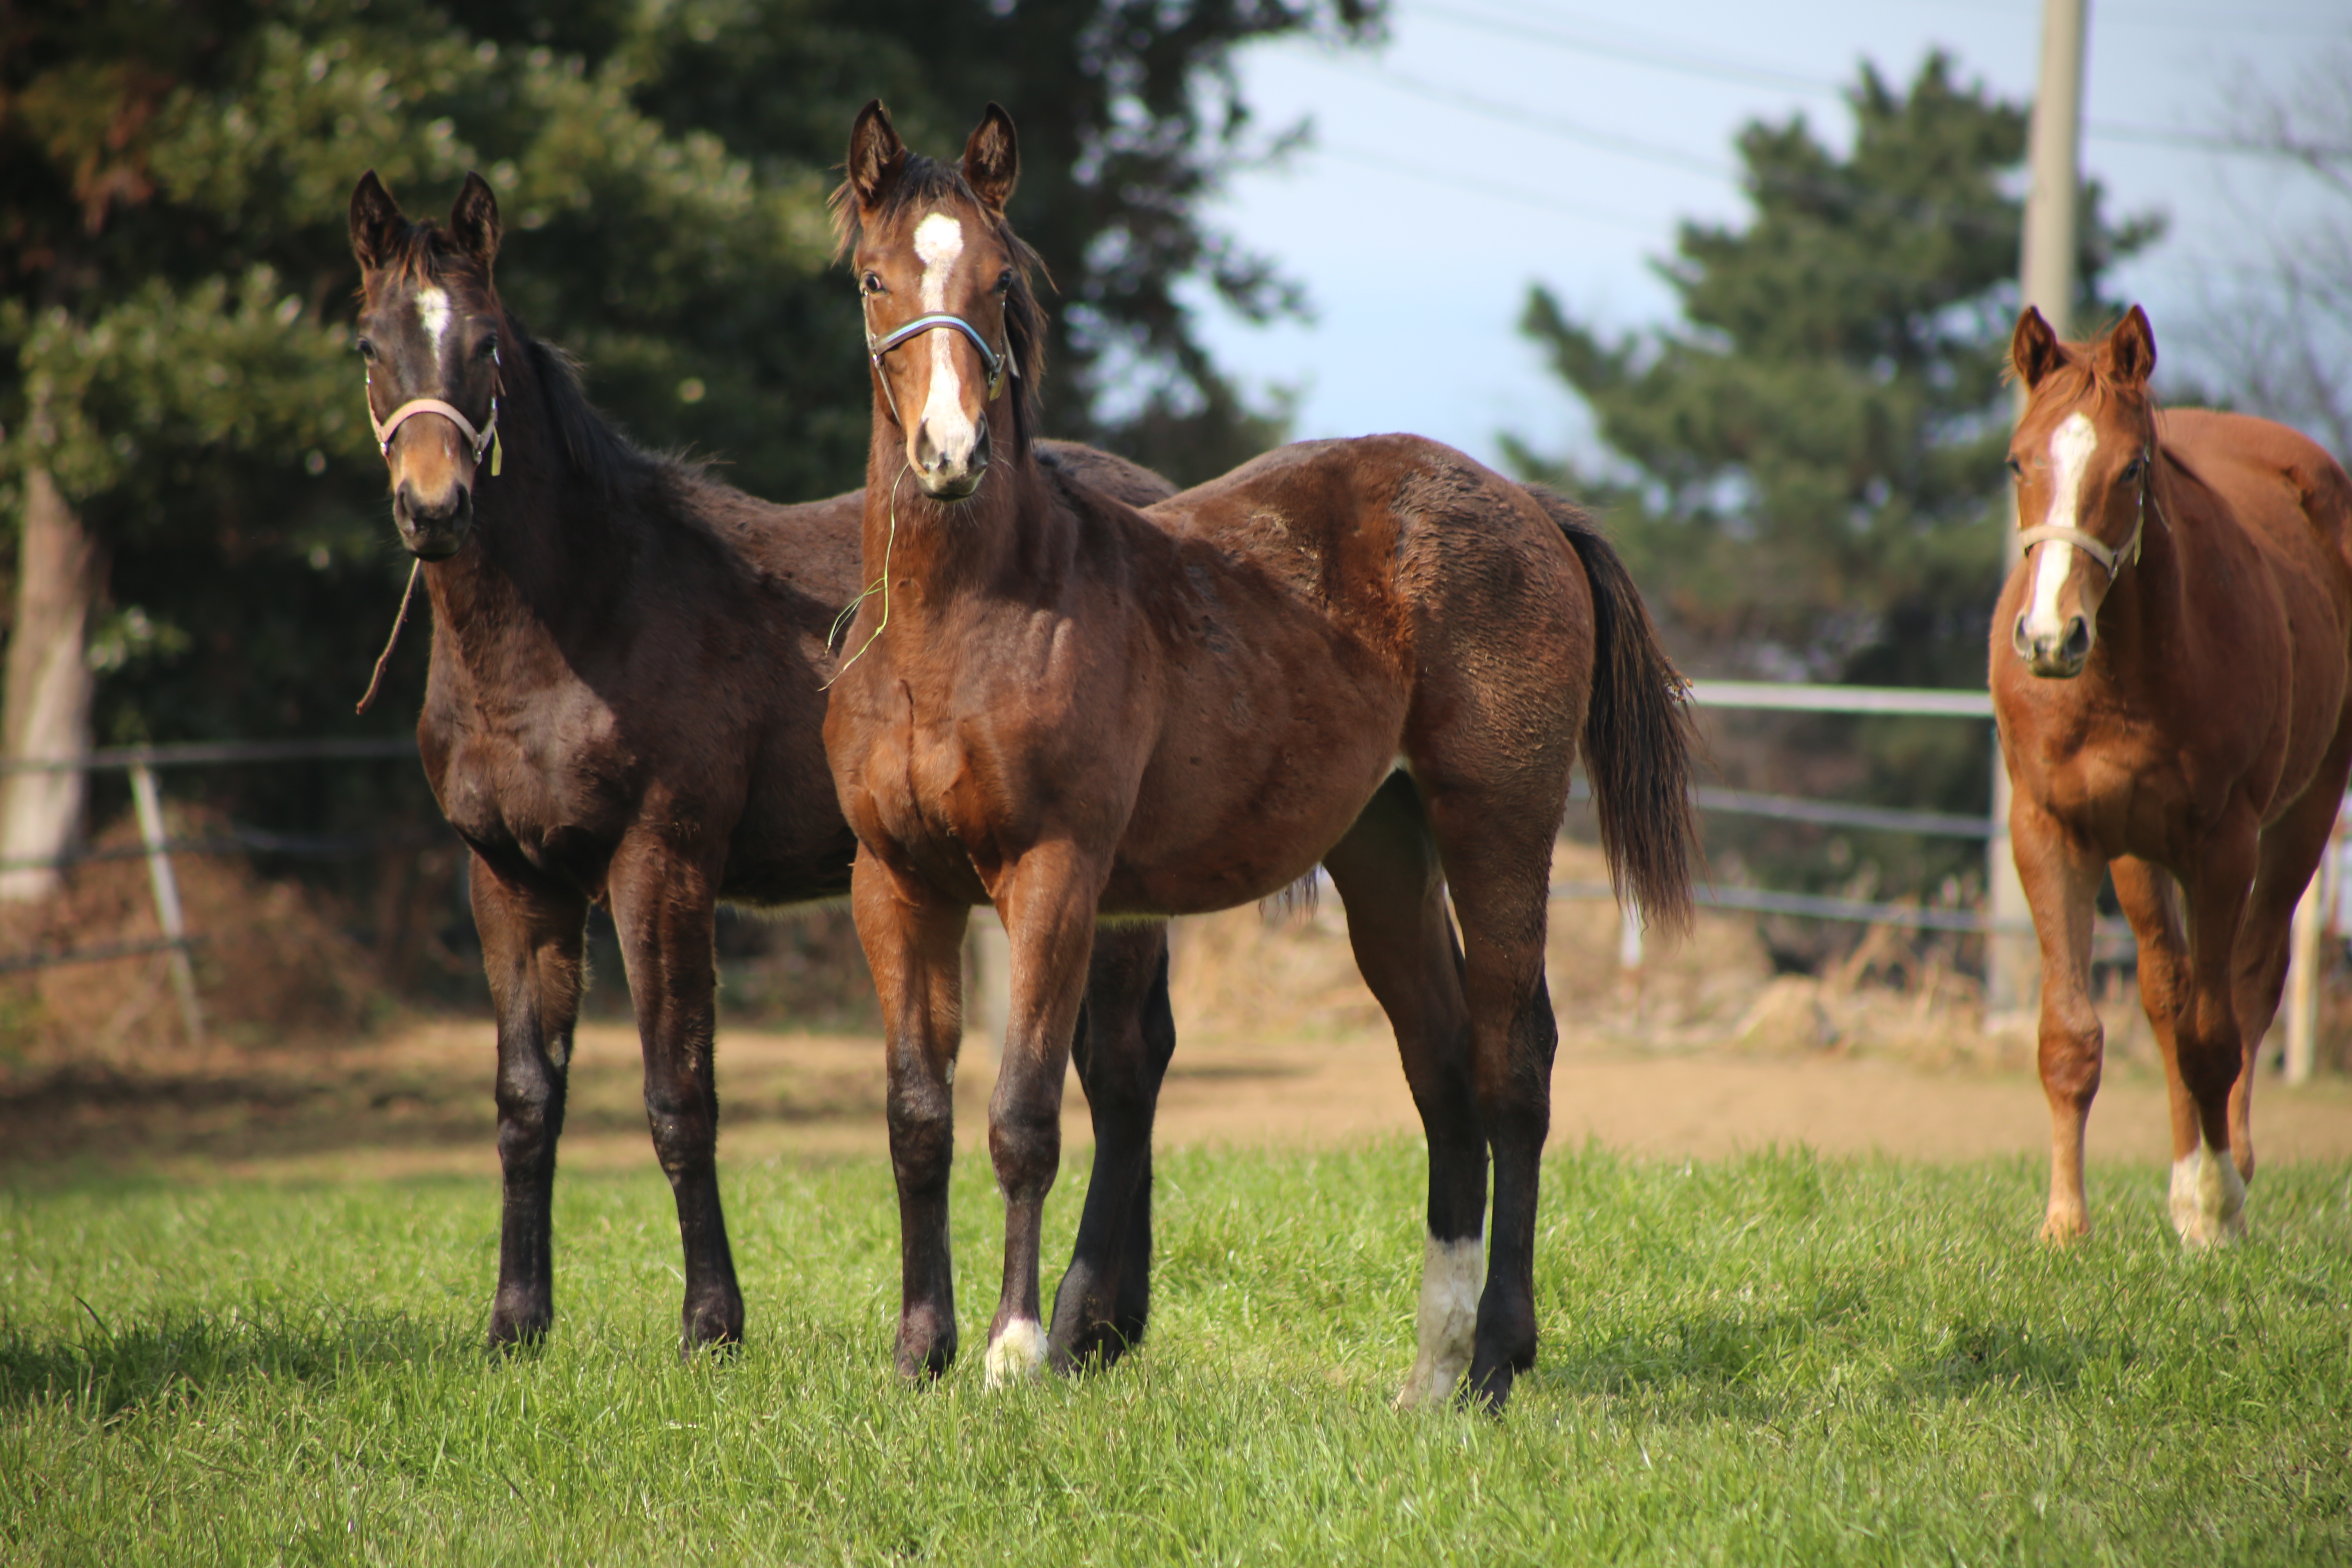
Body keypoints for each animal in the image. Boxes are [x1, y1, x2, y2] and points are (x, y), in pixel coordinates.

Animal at [345, 169, 1176, 1354]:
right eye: (371, 345)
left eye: (486, 344)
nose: (434, 506)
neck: (584, 613)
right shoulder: (509, 877)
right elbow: (525, 1101)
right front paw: (516, 1324)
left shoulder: (660, 863)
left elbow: (677, 1096)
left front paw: (710, 1325)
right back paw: (1113, 1319)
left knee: (1119, 1071)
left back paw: (1081, 1320)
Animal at [828, 104, 1693, 1420]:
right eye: (876, 279)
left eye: (997, 282)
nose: (950, 453)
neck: (956, 628)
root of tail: (1528, 503)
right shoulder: (895, 885)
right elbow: (916, 1116)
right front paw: (917, 1353)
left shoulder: (1053, 877)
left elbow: (1023, 1114)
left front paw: (1015, 1351)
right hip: (1383, 855)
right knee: (1441, 1068)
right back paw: (1431, 1373)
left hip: (1498, 829)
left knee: (1513, 1065)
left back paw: (1497, 1359)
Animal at [1994, 303, 2352, 1250]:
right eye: (2017, 460)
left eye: (2131, 468)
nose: (2051, 637)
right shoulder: (2051, 831)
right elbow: (2072, 1038)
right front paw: (2064, 1223)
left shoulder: (2224, 845)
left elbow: (2215, 1036)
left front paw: (2217, 1210)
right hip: (2136, 855)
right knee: (2167, 994)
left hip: (2304, 817)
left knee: (2250, 986)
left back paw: (2221, 1182)